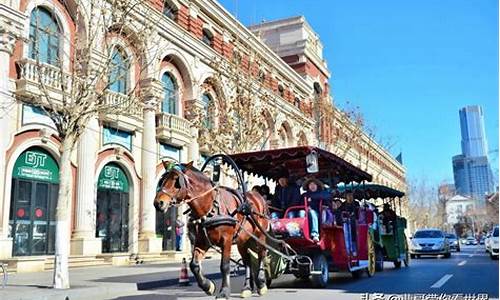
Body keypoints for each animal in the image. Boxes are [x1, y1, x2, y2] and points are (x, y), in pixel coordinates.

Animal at [154, 163, 270, 298]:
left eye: (177, 182)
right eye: (162, 180)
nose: (158, 203)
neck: (211, 207)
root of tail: (258, 197)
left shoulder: (227, 240)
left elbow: (224, 266)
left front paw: (224, 291)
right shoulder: (202, 241)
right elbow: (194, 265)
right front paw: (208, 286)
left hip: (260, 236)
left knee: (262, 255)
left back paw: (261, 284)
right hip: (243, 241)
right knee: (247, 261)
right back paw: (247, 288)